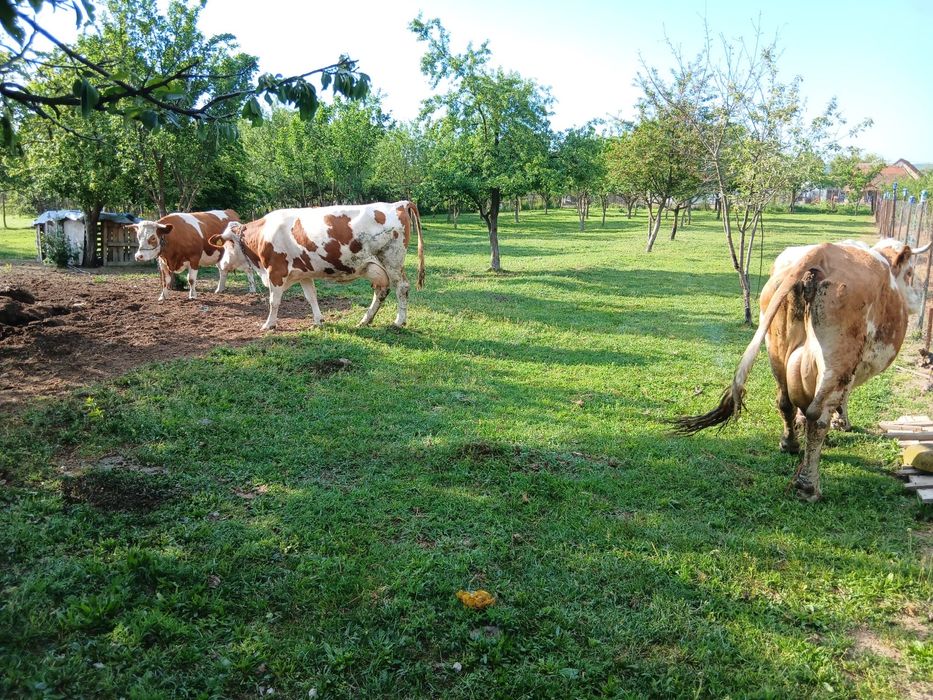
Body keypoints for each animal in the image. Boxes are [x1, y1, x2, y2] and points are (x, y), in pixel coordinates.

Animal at [215, 201, 424, 330]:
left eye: (228, 243)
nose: (222, 264)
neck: (263, 234)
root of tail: (398, 204)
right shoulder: (303, 273)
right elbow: (311, 297)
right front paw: (318, 321)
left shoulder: (276, 271)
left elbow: (274, 301)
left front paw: (269, 324)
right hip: (376, 267)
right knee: (381, 291)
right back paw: (365, 320)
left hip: (392, 261)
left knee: (402, 288)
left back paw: (399, 321)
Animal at [673, 237, 930, 502]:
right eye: (910, 272)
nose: (917, 297)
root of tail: (820, 252)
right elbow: (842, 401)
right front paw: (843, 422)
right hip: (839, 360)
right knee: (817, 417)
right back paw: (808, 486)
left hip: (777, 348)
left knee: (784, 400)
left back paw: (790, 444)